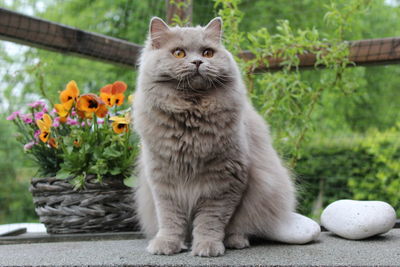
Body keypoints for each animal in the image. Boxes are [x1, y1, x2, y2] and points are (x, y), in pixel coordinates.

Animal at [133, 16, 320, 258]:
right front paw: (167, 245)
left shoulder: (223, 182)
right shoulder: (163, 181)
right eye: (179, 53)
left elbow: (210, 221)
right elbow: (170, 219)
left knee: (240, 228)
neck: (191, 117)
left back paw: (235, 241)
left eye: (207, 53)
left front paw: (207, 247)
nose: (197, 62)